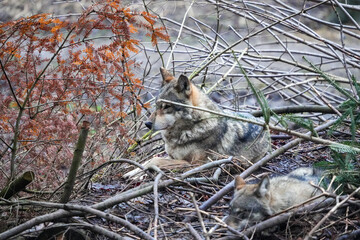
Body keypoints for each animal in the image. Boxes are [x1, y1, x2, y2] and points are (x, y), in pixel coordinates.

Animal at [124, 68, 270, 177]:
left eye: (167, 107)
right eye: (157, 105)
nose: (147, 124)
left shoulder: (193, 164)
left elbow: (155, 159)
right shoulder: (172, 156)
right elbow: (149, 159)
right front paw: (131, 173)